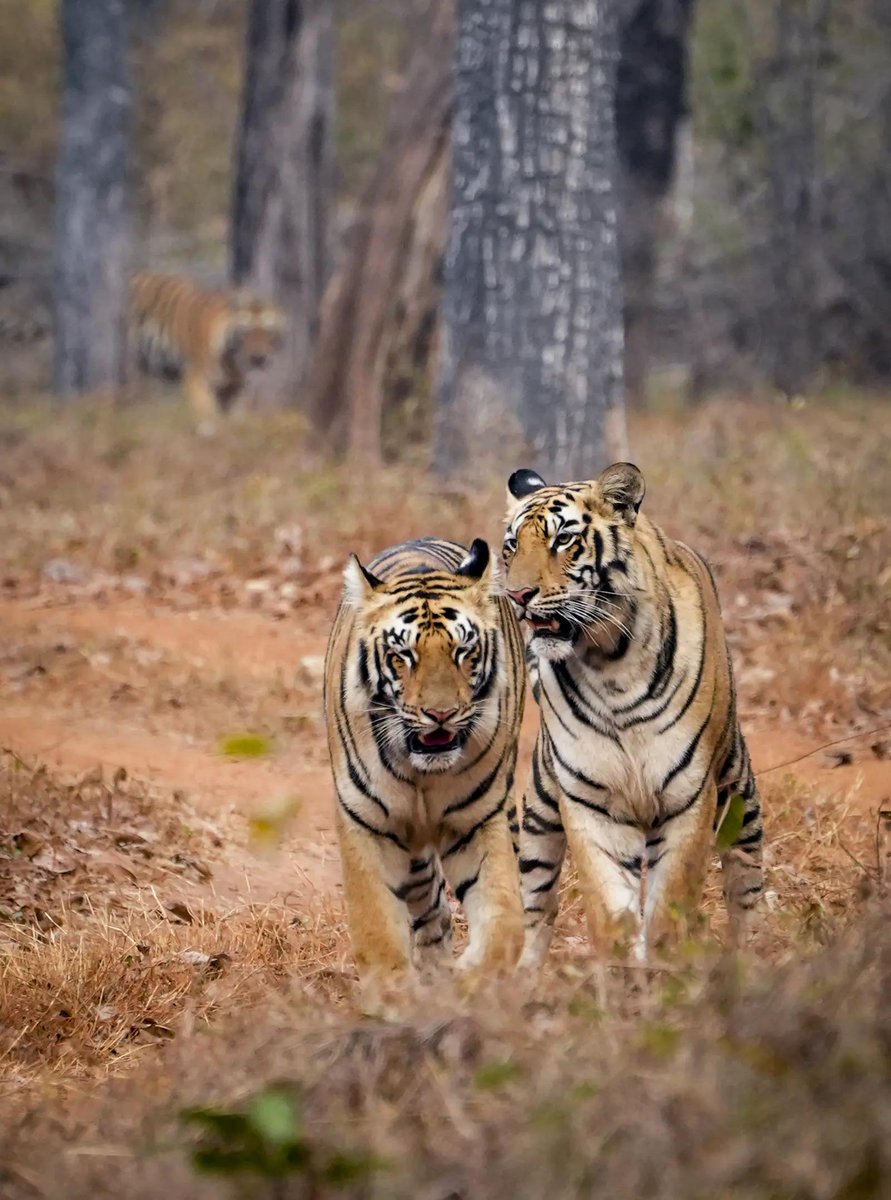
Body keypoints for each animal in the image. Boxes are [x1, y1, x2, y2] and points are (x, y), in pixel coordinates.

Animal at [128, 271, 285, 416]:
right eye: (246, 331)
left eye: (268, 331)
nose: (258, 358)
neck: (230, 359)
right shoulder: (198, 379)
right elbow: (207, 413)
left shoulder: (236, 386)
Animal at [324, 535, 526, 1006]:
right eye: (403, 656)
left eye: (464, 651)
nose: (441, 714)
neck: (425, 773)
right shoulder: (365, 820)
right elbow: (374, 921)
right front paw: (391, 994)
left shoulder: (478, 819)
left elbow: (505, 916)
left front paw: (472, 979)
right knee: (429, 906)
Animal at [502, 462, 764, 968]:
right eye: (511, 545)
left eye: (563, 540)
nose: (518, 595)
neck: (611, 664)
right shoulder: (591, 803)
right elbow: (611, 912)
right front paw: (623, 972)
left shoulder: (688, 798)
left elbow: (668, 910)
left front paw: (664, 971)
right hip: (540, 814)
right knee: (536, 905)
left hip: (741, 800)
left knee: (745, 889)